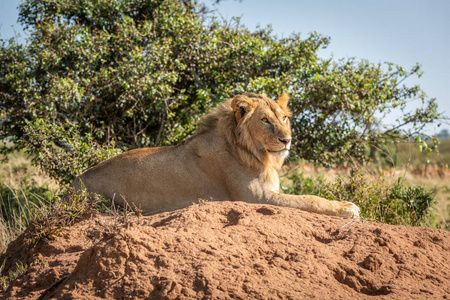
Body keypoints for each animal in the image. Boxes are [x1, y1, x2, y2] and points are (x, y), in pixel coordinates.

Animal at [72, 92, 360, 217]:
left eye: (284, 118)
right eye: (265, 120)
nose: (286, 140)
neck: (256, 154)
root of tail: (74, 183)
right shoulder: (256, 198)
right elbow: (309, 200)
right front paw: (347, 207)